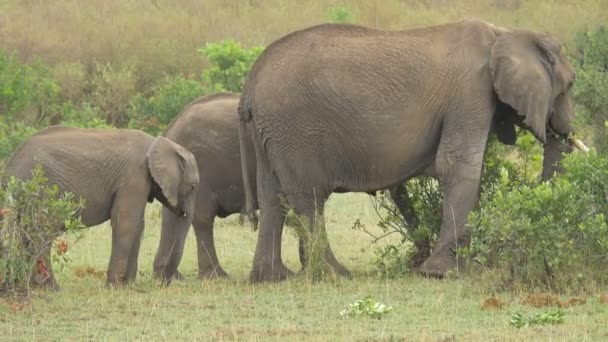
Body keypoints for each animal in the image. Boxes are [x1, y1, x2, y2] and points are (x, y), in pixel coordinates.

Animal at [4, 125, 200, 288]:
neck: (160, 143)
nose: (163, 282)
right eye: (193, 187)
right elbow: (126, 223)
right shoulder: (134, 177)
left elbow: (138, 225)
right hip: (41, 189)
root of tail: (10, 165)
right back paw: (51, 288)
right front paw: (114, 287)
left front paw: (128, 285)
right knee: (42, 233)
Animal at [239, 18, 580, 284]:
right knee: (308, 199)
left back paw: (272, 277)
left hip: (271, 133)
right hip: (295, 131)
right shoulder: (470, 93)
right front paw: (439, 274)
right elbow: (457, 166)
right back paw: (336, 274)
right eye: (571, 84)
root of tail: (251, 83)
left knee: (271, 197)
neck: (505, 33)